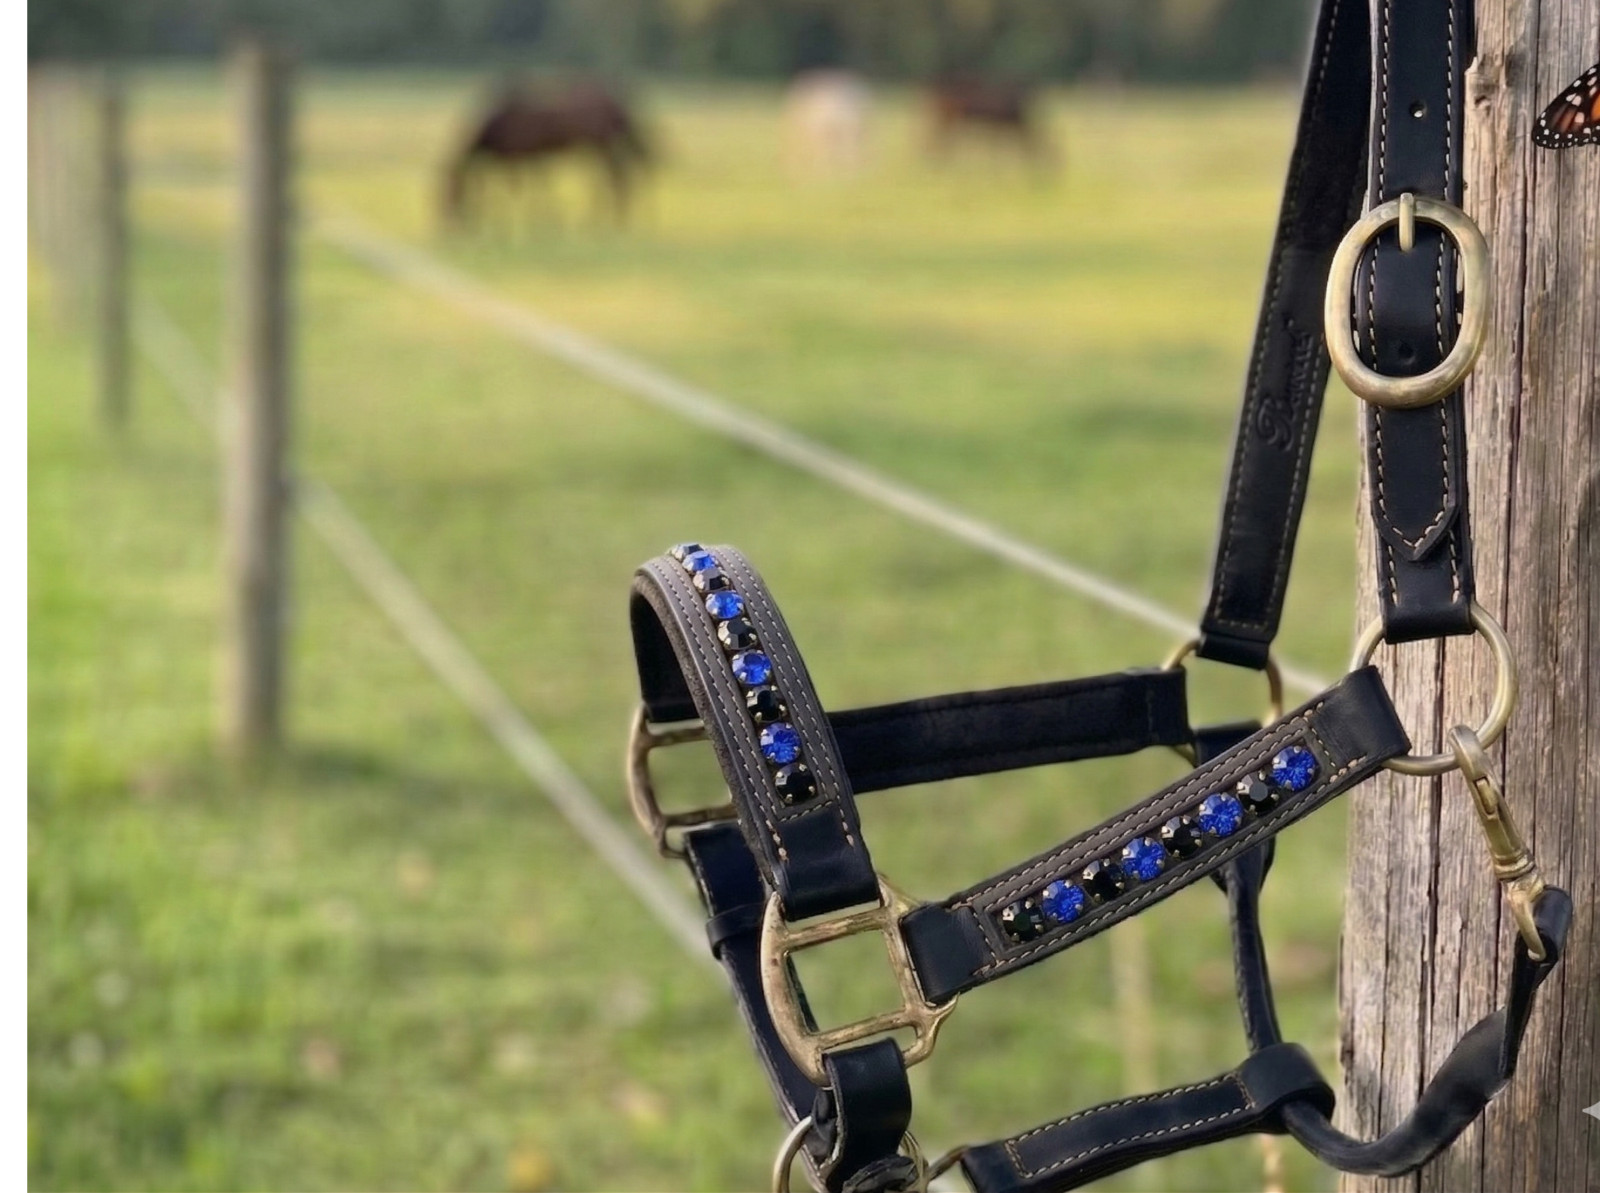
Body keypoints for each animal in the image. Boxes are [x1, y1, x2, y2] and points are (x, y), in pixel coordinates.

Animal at [441, 82, 650, 228]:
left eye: (451, 190)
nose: (449, 221)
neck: (496, 127)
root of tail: (617, 104)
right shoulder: (527, 159)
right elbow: (534, 187)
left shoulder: (514, 159)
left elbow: (516, 191)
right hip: (598, 147)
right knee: (616, 178)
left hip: (601, 145)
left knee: (616, 178)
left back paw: (606, 219)